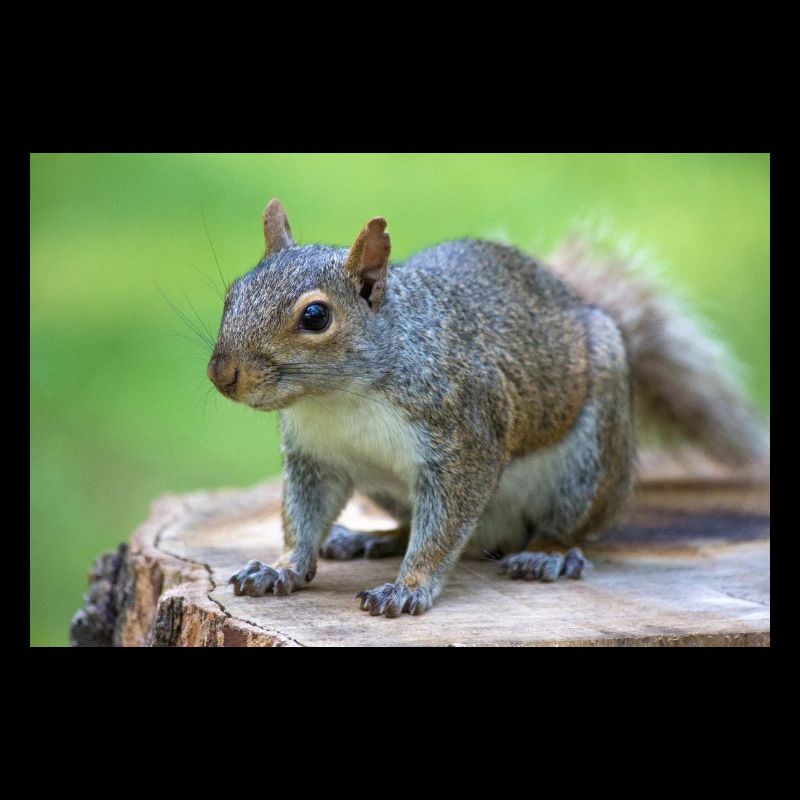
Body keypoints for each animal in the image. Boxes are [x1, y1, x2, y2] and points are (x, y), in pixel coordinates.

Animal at [207, 199, 768, 617]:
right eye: (234, 293)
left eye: (316, 316)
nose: (221, 374)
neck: (338, 399)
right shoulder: (316, 457)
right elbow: (303, 516)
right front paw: (281, 567)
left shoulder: (463, 438)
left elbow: (443, 527)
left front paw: (409, 588)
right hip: (387, 489)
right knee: (413, 523)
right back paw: (372, 539)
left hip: (590, 463)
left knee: (566, 527)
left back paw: (546, 556)